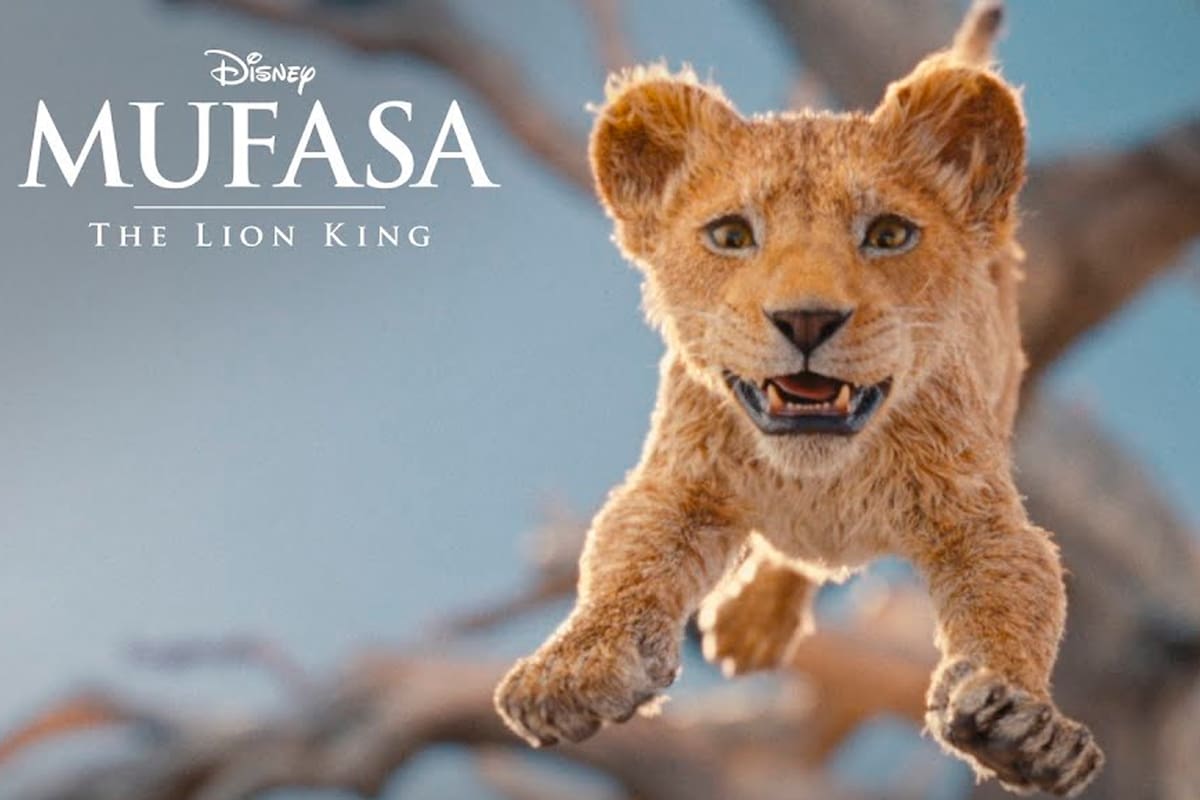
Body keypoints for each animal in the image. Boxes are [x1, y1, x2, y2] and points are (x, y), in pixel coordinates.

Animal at [494, 6, 1103, 796]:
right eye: (730, 234)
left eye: (888, 234)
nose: (807, 320)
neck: (823, 477)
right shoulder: (679, 482)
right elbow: (623, 562)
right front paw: (571, 672)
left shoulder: (978, 514)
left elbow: (1015, 600)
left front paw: (1022, 728)